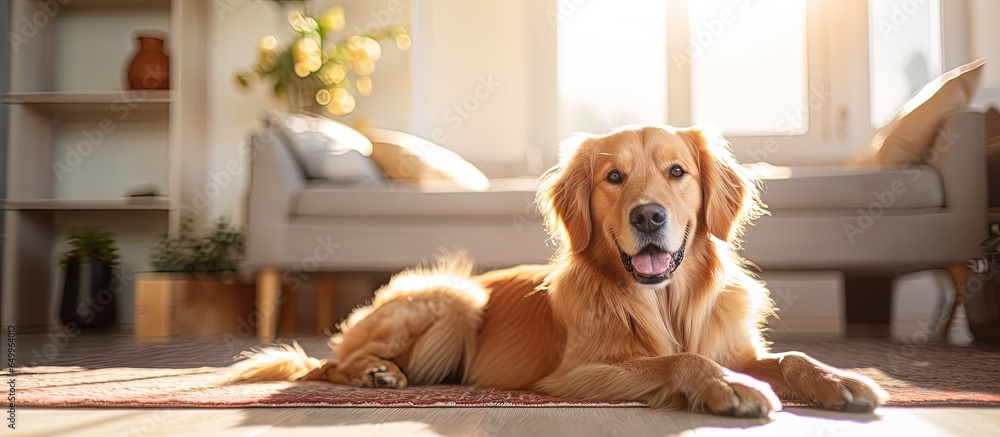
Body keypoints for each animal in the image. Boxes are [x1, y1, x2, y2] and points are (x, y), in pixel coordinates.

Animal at [236, 125, 892, 416]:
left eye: (677, 171)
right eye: (613, 177)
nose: (648, 216)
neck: (663, 300)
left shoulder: (735, 345)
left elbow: (792, 356)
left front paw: (839, 379)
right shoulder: (579, 372)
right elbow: (677, 359)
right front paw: (727, 388)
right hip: (454, 295)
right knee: (328, 365)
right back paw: (378, 374)